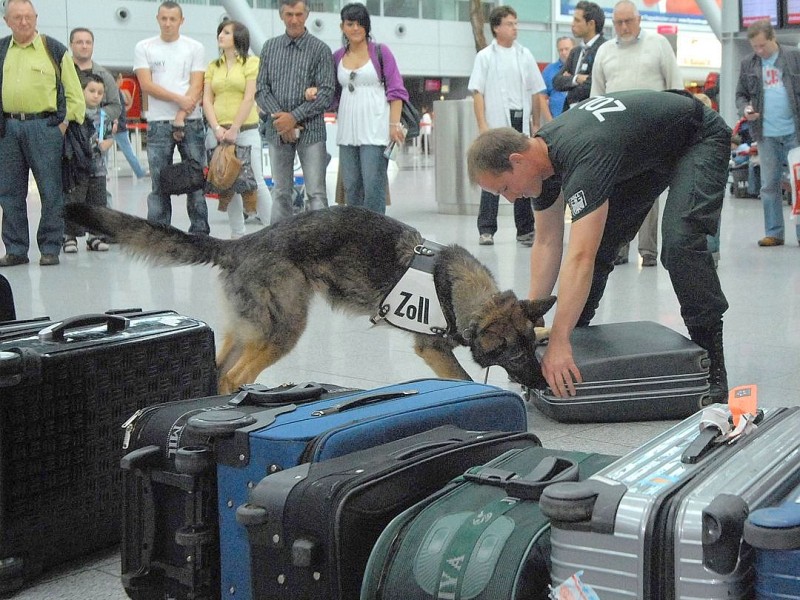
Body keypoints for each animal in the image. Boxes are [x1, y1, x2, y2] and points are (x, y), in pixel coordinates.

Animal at [65, 204, 552, 396]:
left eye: (534, 346)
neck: (456, 287)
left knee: (218, 367)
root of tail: (242, 244)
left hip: (249, 330)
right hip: (284, 330)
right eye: (514, 353)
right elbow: (466, 379)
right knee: (232, 375)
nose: (543, 384)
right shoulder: (432, 349)